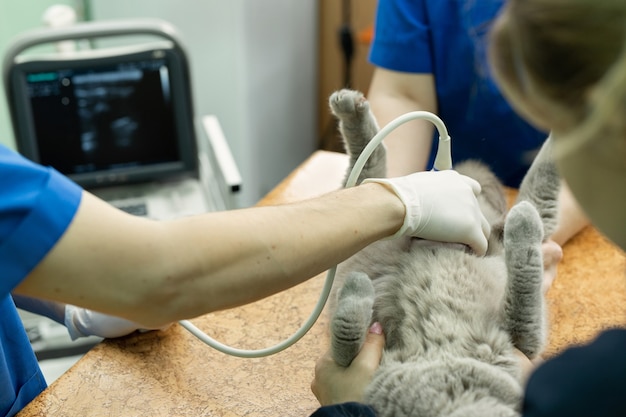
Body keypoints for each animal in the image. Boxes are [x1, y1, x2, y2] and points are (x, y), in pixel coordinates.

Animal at [324, 89, 560, 414]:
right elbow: (346, 340)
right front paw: (358, 288)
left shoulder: (524, 339)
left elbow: (524, 289)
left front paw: (357, 288)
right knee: (369, 169)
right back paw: (350, 106)